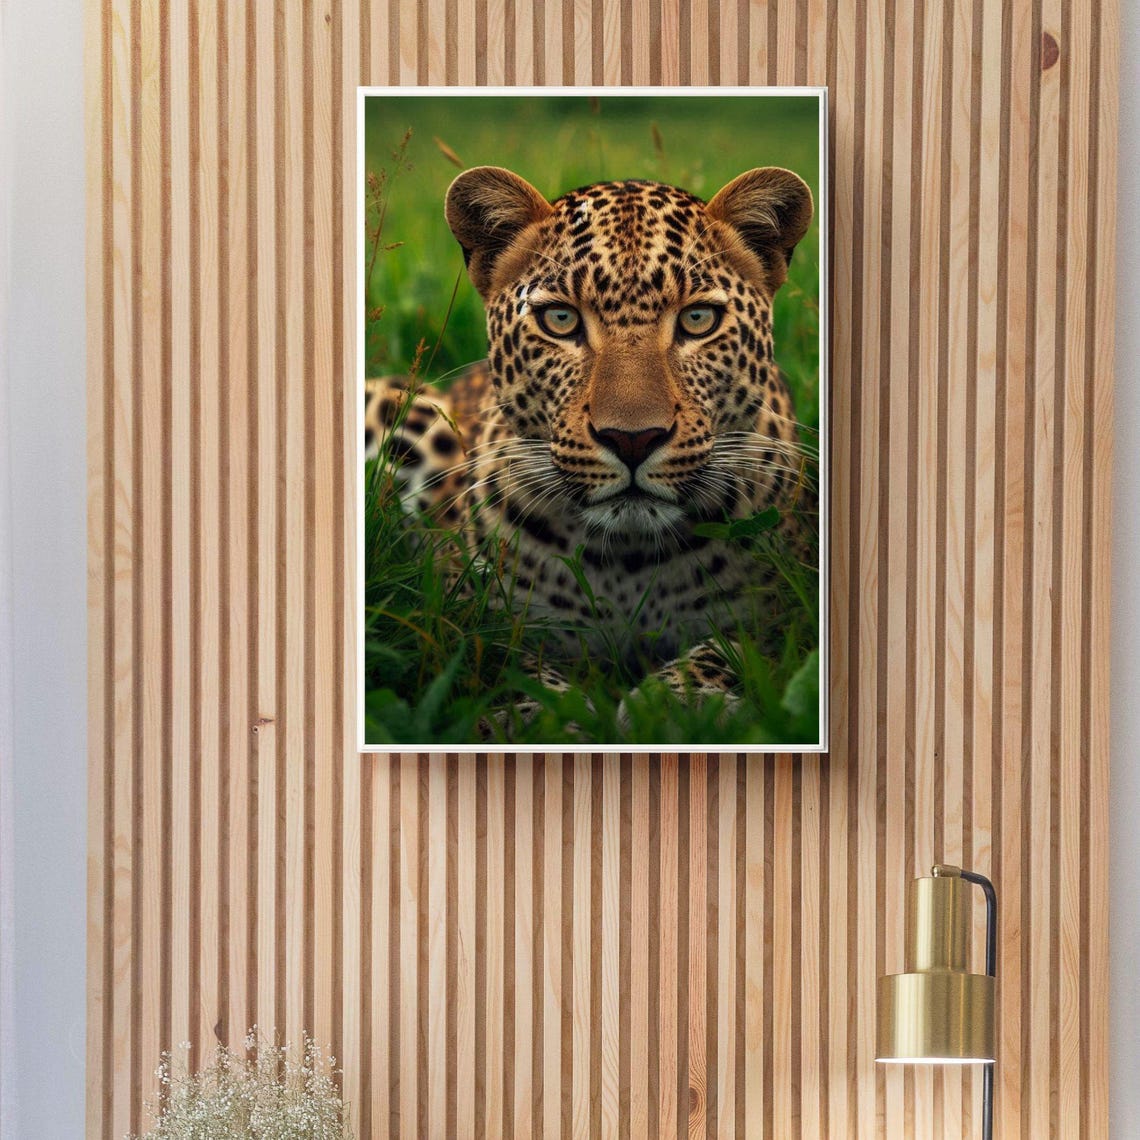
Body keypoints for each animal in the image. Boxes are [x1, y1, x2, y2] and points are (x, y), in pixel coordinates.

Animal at [365, 164, 817, 735]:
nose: (632, 439)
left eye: (698, 320)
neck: (628, 560)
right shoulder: (459, 616)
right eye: (560, 320)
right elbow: (495, 658)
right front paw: (540, 715)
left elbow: (733, 653)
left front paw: (680, 704)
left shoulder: (786, 616)